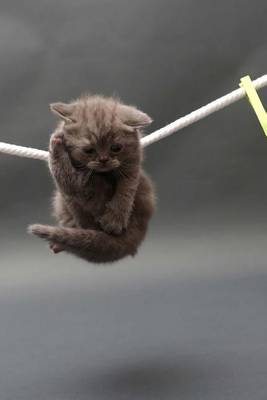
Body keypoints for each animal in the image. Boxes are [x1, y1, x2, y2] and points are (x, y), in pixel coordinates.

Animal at [28, 95, 156, 264]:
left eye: (116, 148)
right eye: (88, 150)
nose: (103, 160)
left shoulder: (133, 161)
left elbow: (127, 188)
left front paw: (114, 220)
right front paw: (57, 139)